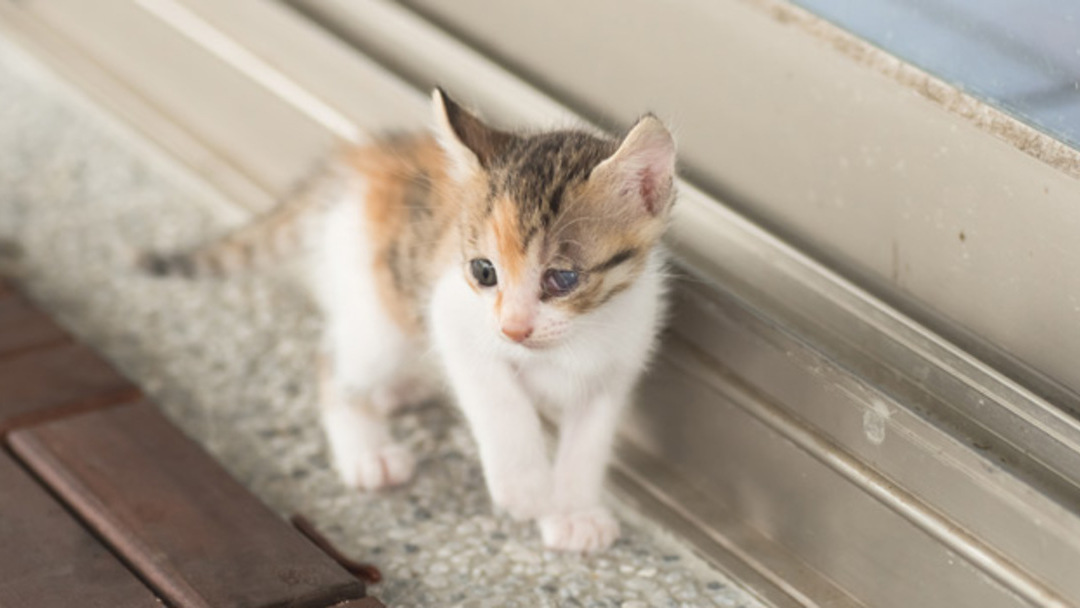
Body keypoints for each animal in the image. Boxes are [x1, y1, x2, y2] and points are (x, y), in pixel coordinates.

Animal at [145, 89, 673, 552]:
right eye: (484, 271)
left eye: (562, 278)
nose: (513, 330)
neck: (572, 341)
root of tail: (365, 159)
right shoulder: (454, 316)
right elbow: (500, 401)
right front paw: (526, 488)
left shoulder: (616, 368)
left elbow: (589, 443)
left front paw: (573, 513)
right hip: (379, 309)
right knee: (334, 360)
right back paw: (368, 451)